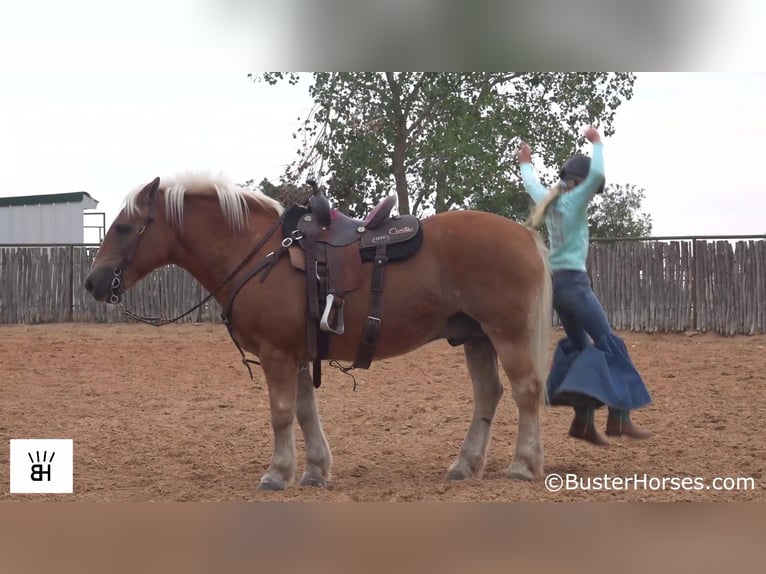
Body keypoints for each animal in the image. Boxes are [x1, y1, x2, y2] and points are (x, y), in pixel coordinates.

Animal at [82, 173, 552, 492]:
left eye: (123, 227)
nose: (94, 282)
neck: (257, 253)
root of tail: (524, 235)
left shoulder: (276, 355)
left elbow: (282, 413)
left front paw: (277, 473)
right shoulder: (298, 355)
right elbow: (307, 412)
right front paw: (314, 471)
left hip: (505, 333)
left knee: (526, 390)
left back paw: (523, 464)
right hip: (475, 337)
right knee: (488, 394)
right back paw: (464, 465)